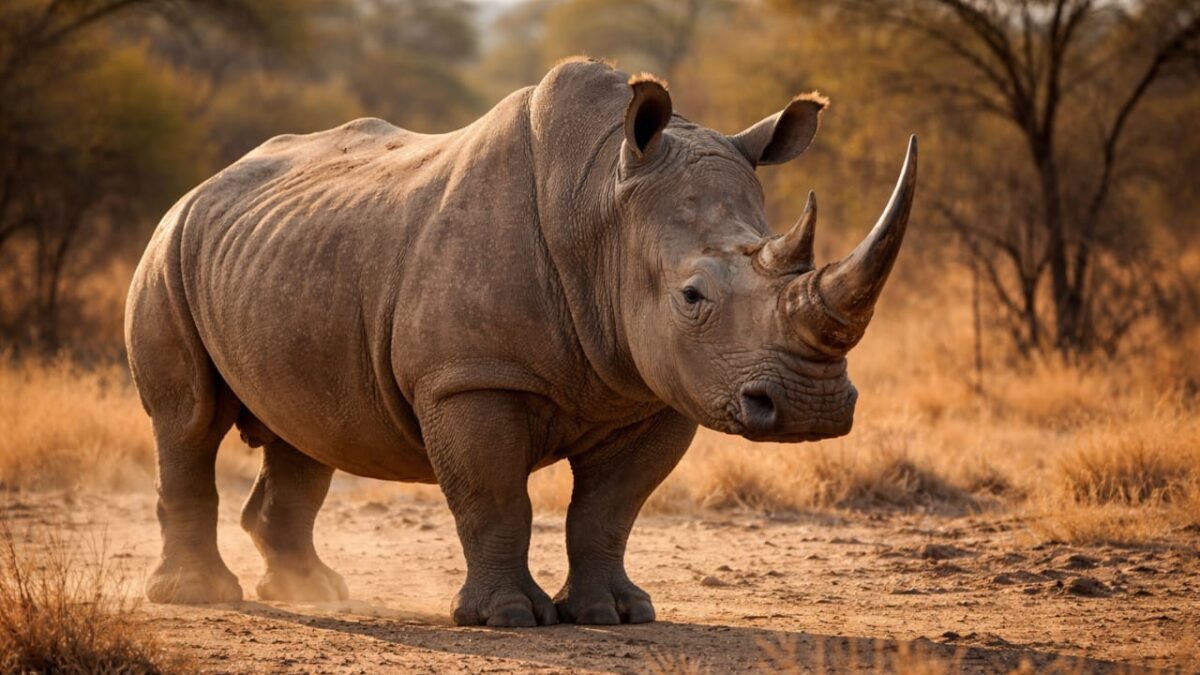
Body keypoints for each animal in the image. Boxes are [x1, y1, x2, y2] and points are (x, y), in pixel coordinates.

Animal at [125, 59, 916, 627]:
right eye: (692, 297)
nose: (812, 409)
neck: (603, 208)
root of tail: (206, 184)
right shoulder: (471, 377)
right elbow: (495, 496)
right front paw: (507, 618)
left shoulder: (656, 390)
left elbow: (609, 510)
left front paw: (615, 614)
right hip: (167, 248)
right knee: (188, 421)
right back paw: (200, 597)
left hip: (285, 256)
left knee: (307, 429)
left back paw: (315, 591)